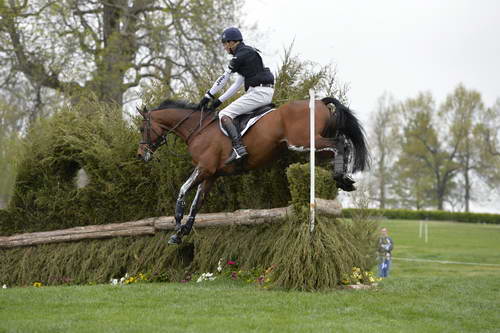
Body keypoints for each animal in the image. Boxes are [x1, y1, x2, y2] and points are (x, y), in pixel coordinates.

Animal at [136, 96, 368, 244]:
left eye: (141, 128)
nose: (140, 155)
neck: (198, 129)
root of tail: (319, 102)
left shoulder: (204, 168)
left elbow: (182, 191)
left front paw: (177, 225)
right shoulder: (211, 175)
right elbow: (196, 204)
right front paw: (182, 232)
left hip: (303, 142)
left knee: (340, 143)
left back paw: (342, 177)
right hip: (314, 148)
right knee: (339, 146)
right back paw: (344, 178)